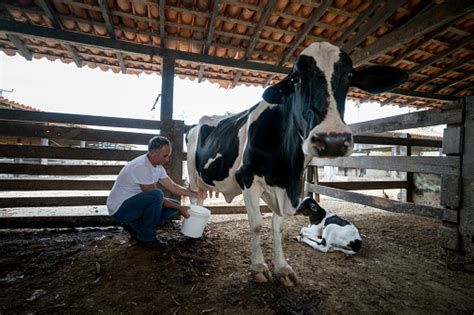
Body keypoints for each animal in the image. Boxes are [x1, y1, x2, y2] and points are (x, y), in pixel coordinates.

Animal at [185, 40, 408, 288]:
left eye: (349, 75)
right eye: (296, 78)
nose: (332, 139)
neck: (286, 169)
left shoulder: (290, 188)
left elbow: (278, 226)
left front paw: (282, 268)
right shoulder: (247, 178)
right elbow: (257, 224)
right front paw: (259, 267)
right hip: (193, 176)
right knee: (195, 199)